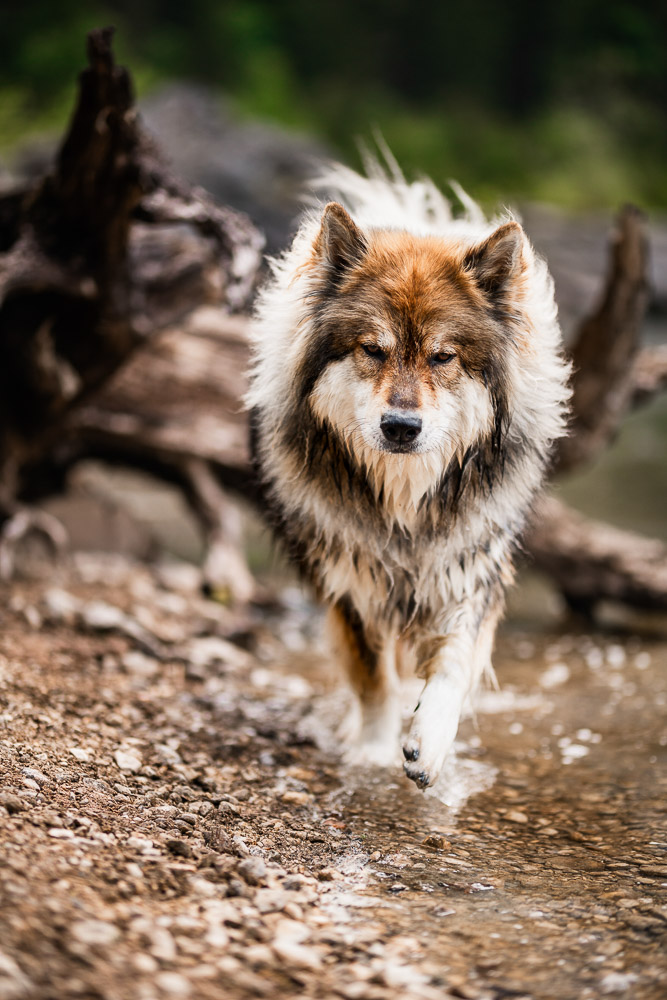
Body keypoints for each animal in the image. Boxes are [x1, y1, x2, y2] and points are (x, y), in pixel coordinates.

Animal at [248, 162, 572, 788]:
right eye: (373, 349)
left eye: (443, 357)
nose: (400, 426)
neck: (403, 499)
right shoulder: (350, 583)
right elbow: (374, 678)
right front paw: (373, 752)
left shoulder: (469, 566)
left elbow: (455, 660)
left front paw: (431, 740)